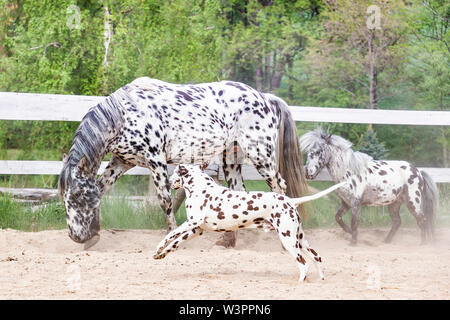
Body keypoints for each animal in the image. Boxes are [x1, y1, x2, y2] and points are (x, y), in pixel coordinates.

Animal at [58, 76, 308, 249]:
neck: (124, 114)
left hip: (261, 156)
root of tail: (265, 98)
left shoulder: (156, 161)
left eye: (78, 197)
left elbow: (165, 201)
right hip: (231, 159)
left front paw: (171, 234)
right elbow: (101, 189)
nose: (76, 236)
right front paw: (93, 238)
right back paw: (228, 240)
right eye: (66, 198)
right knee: (239, 193)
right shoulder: (121, 162)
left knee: (279, 187)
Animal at [154, 165, 344, 282]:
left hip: (289, 241)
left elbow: (169, 235)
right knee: (317, 258)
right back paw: (320, 279)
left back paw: (300, 282)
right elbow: (174, 244)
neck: (201, 188)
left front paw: (158, 248)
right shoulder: (196, 230)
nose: (168, 182)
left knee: (303, 264)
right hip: (301, 240)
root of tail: (290, 201)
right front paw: (160, 254)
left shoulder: (191, 223)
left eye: (174, 173)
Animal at [298, 127, 440, 245]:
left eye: (318, 151)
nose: (308, 173)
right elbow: (338, 218)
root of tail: (418, 172)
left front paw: (353, 242)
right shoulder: (345, 203)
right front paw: (350, 233)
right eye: (309, 152)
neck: (348, 172)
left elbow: (354, 223)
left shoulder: (355, 204)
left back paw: (423, 244)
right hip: (394, 203)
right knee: (397, 222)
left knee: (422, 220)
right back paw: (386, 241)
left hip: (413, 202)